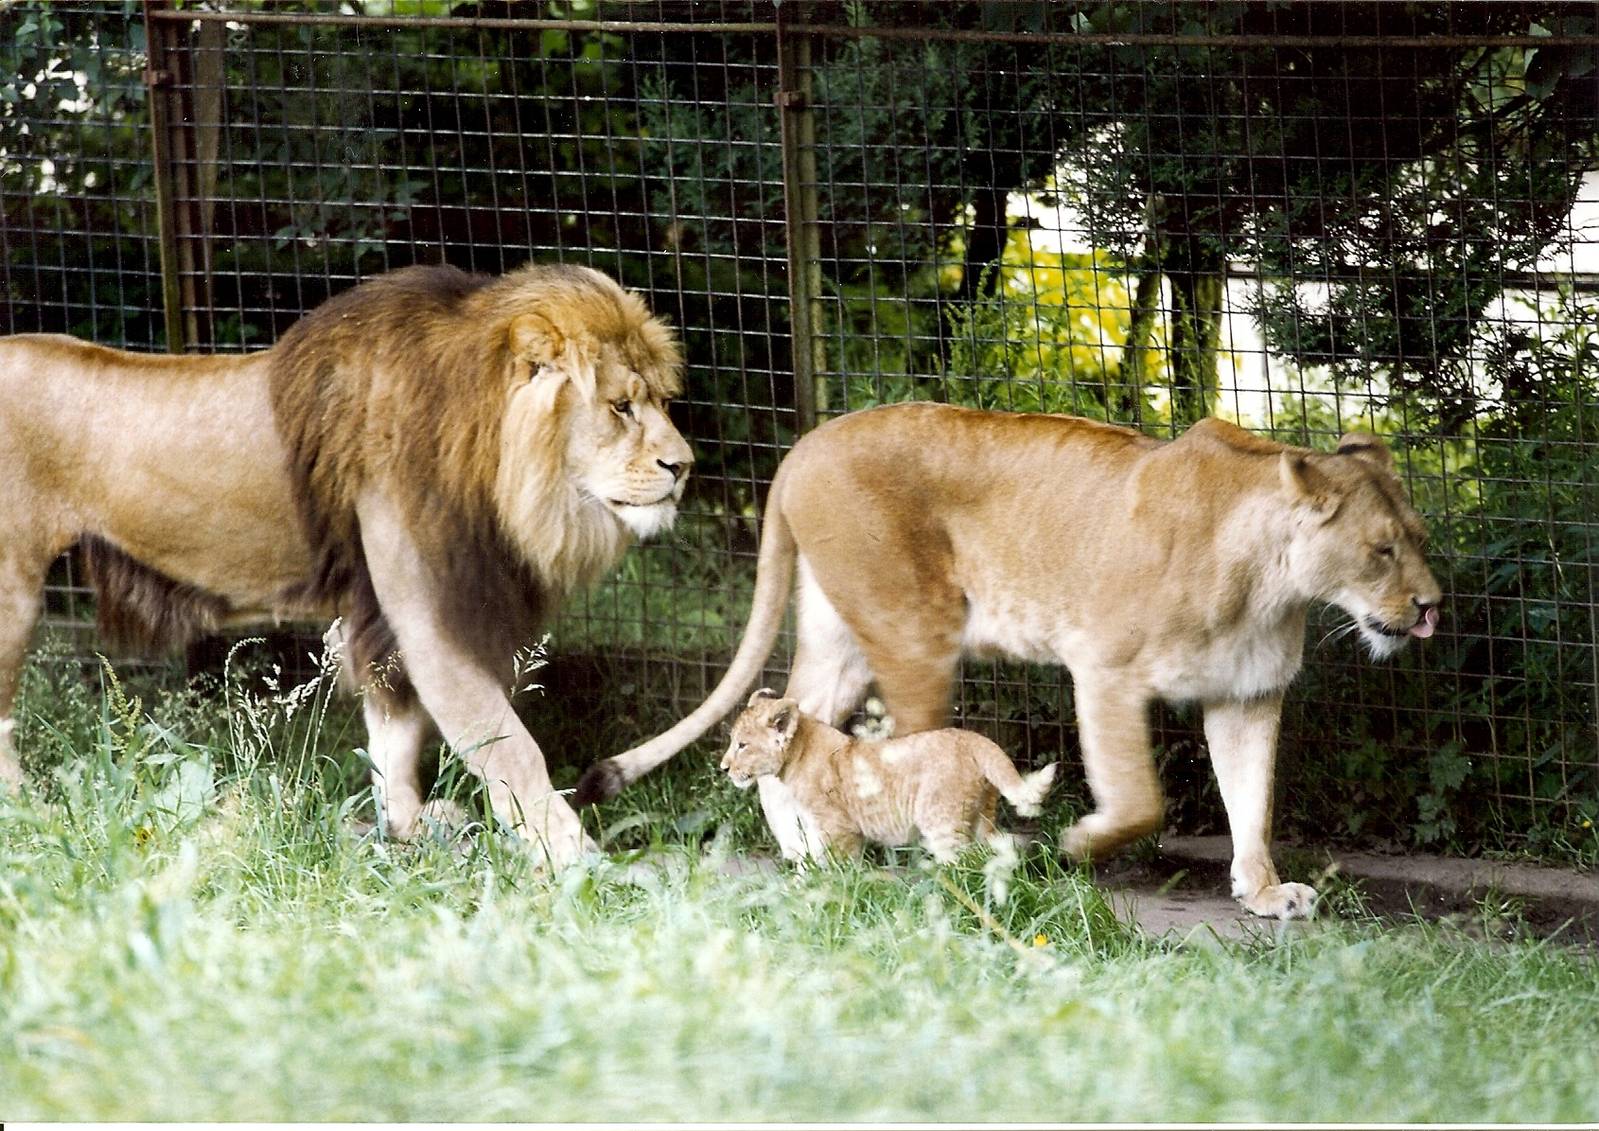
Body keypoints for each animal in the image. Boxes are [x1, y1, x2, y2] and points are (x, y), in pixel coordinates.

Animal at [0, 262, 691, 868]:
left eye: (659, 400)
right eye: (621, 407)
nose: (683, 466)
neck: (487, 452)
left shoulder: (383, 619)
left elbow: (395, 738)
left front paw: (409, 829)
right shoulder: (430, 618)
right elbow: (511, 749)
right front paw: (576, 859)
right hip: (12, 593)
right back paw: (26, 811)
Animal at [724, 688, 1057, 864]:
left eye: (742, 745)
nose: (724, 768)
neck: (795, 757)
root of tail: (975, 739)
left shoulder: (838, 827)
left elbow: (833, 866)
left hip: (941, 822)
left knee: (961, 863)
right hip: (981, 818)